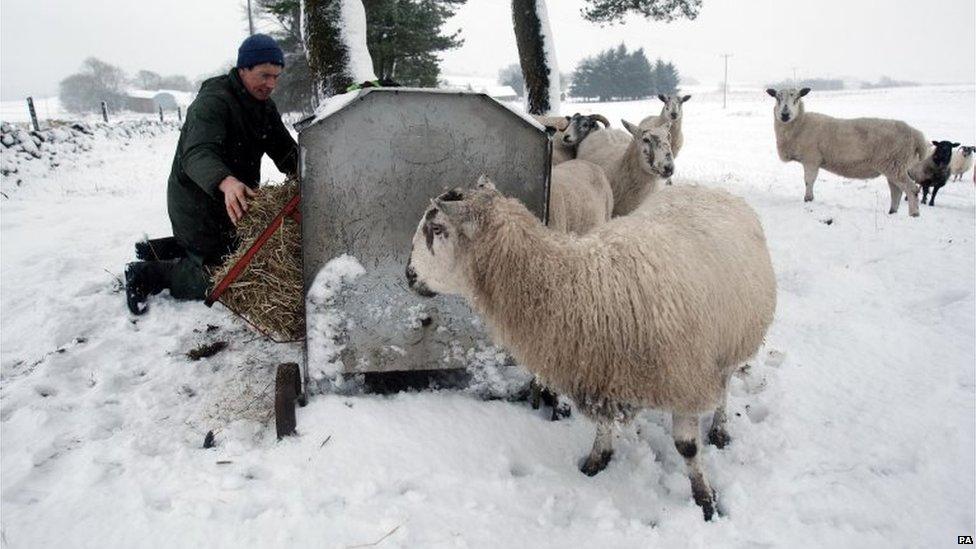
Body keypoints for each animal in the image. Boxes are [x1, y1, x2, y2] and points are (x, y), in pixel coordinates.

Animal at [404, 178, 776, 520]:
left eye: (436, 229)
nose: (408, 275)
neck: (582, 287)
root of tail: (706, 188)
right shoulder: (600, 370)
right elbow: (603, 422)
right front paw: (597, 460)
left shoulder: (684, 379)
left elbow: (686, 448)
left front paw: (705, 501)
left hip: (731, 340)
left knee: (724, 385)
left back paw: (719, 429)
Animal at [764, 86, 932, 215]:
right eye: (777, 98)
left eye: (797, 98)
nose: (785, 114)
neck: (801, 124)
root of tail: (915, 134)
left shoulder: (811, 158)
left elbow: (808, 181)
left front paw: (808, 200)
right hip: (894, 165)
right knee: (896, 191)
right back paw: (892, 212)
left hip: (894, 164)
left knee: (911, 189)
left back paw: (914, 214)